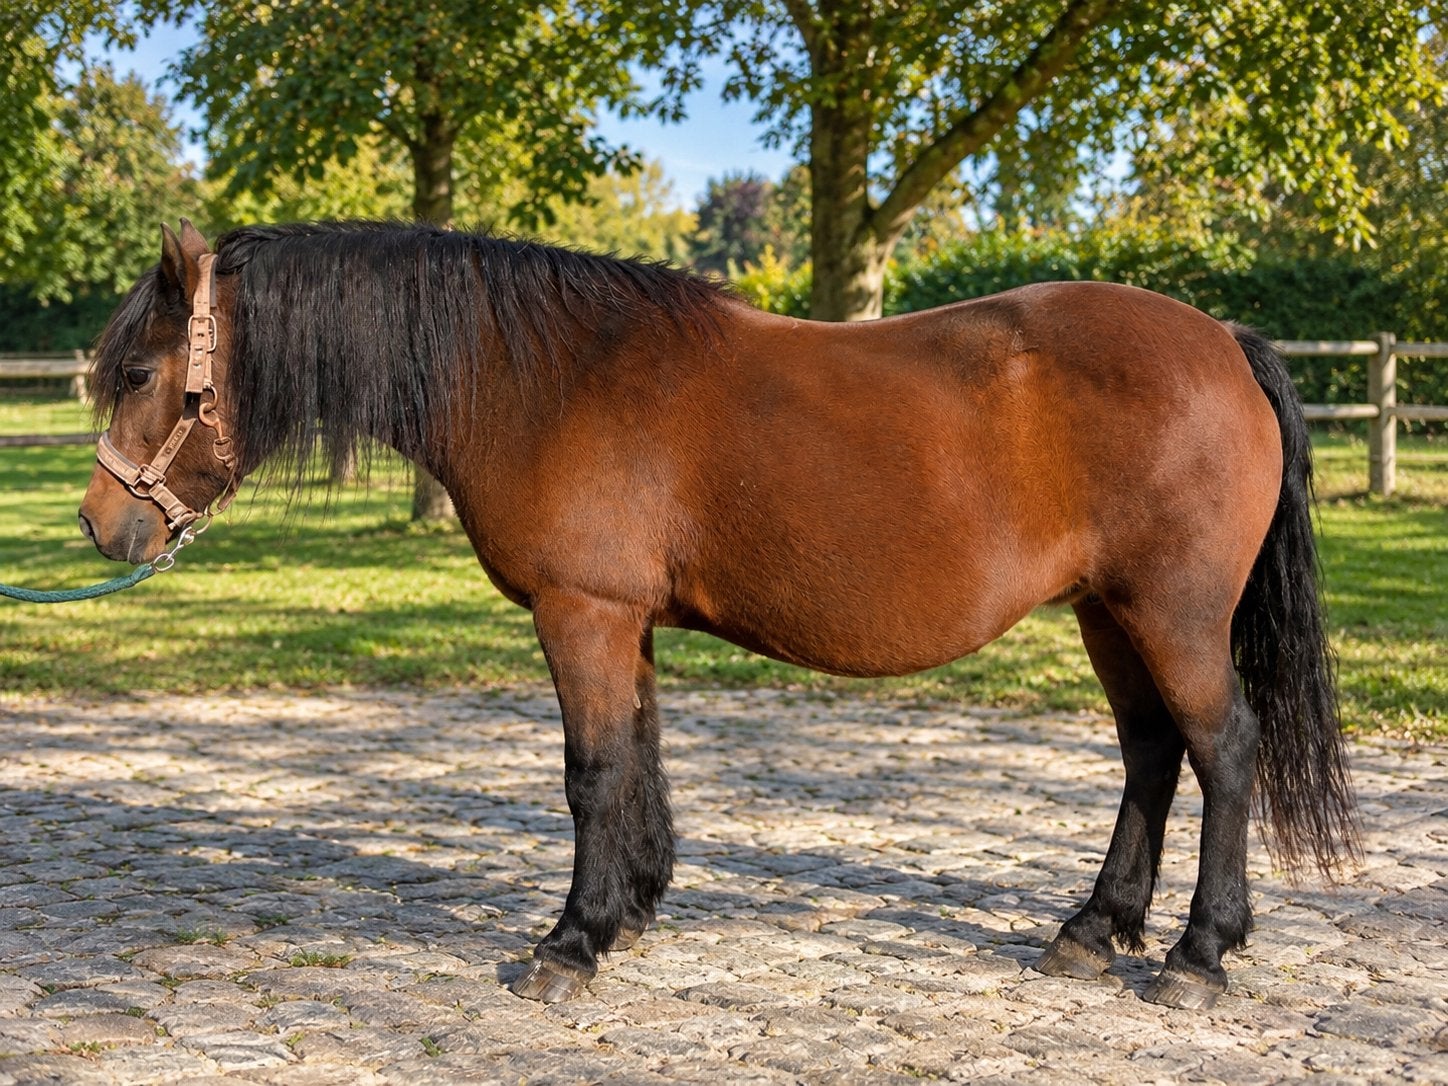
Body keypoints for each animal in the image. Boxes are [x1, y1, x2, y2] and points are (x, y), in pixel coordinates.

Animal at [78, 219, 1358, 1010]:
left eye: (139, 375)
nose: (100, 528)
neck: (543, 376)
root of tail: (1224, 343)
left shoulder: (581, 613)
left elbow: (591, 770)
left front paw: (569, 943)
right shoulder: (622, 619)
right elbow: (640, 755)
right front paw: (633, 909)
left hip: (1170, 614)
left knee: (1221, 750)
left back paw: (1195, 955)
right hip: (1108, 612)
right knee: (1149, 755)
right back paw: (1093, 930)